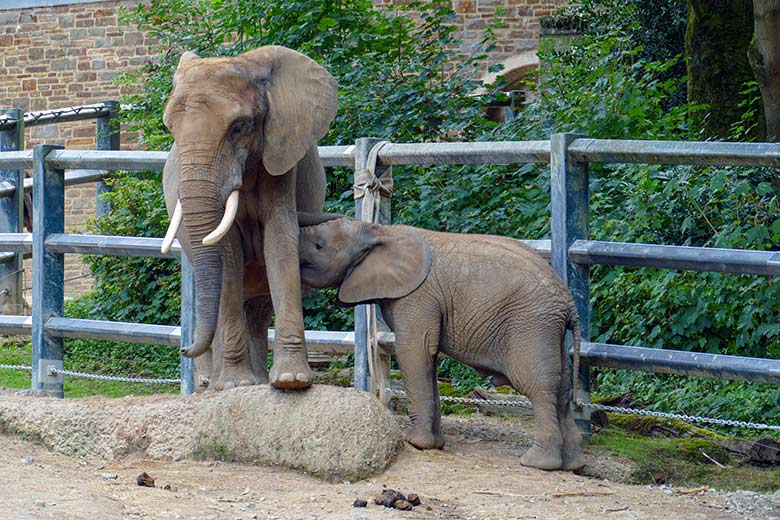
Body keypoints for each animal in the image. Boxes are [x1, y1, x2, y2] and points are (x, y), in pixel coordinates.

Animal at [160, 45, 336, 390]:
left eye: (239, 127)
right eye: (170, 129)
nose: (184, 349)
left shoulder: (281, 150)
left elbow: (280, 239)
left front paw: (291, 381)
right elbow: (227, 252)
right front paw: (233, 385)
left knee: (258, 307)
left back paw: (256, 380)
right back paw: (218, 384)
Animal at [298, 212, 584, 472]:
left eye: (319, 245)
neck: (379, 230)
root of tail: (569, 303)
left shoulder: (417, 297)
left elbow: (415, 350)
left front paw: (416, 443)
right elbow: (429, 358)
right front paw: (435, 444)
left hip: (532, 325)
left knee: (538, 385)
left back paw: (537, 463)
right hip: (548, 330)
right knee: (562, 388)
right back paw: (572, 464)